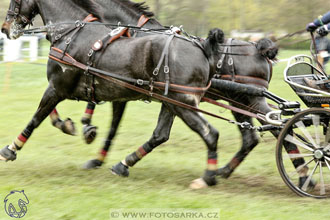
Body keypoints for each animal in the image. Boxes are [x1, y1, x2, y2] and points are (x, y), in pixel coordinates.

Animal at [0, 0, 227, 187]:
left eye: (15, 0)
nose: (5, 28)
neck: (71, 34)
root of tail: (203, 48)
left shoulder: (57, 87)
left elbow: (36, 118)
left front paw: (11, 149)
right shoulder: (87, 92)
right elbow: (65, 116)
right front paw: (74, 128)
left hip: (181, 103)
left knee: (210, 133)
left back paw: (208, 177)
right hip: (171, 103)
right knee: (161, 134)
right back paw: (123, 164)